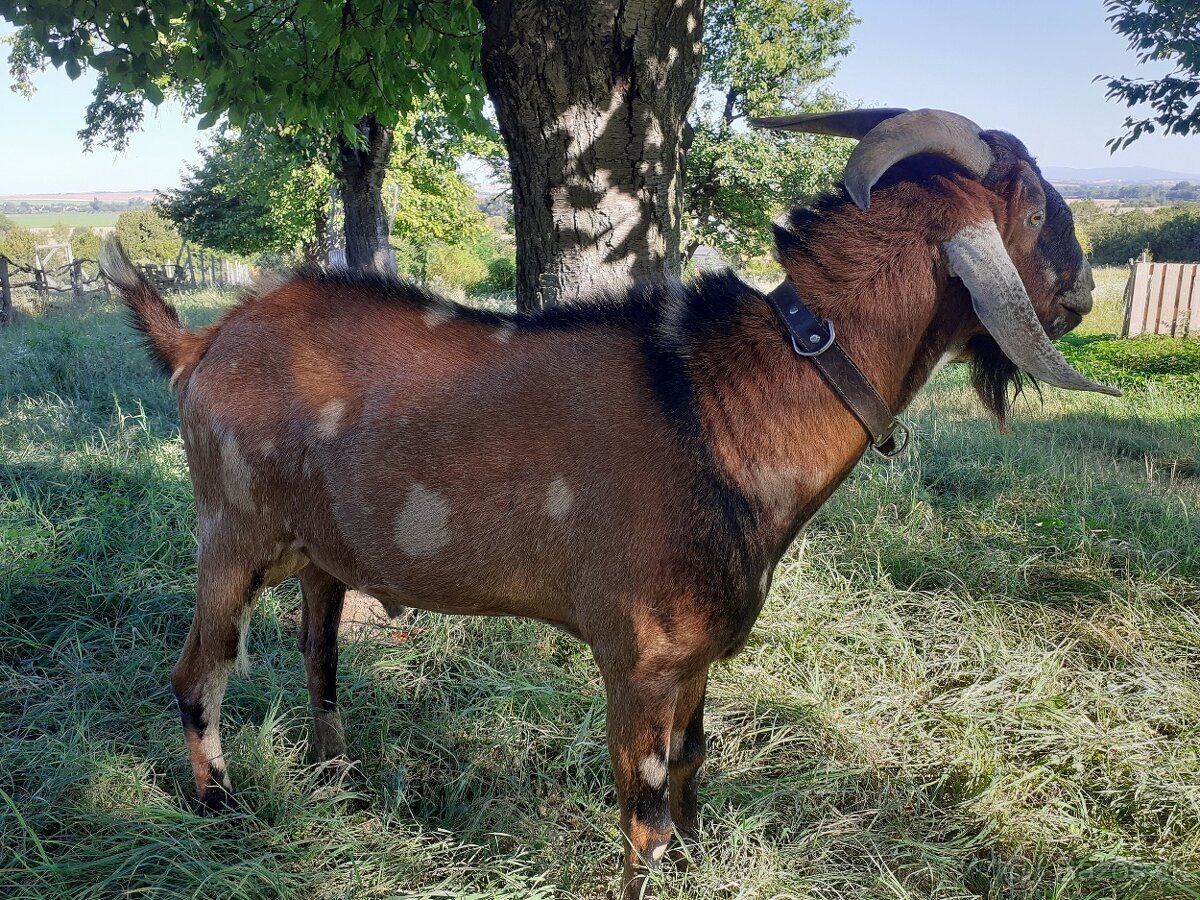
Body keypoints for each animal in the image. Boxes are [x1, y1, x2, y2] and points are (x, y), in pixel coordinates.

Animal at [100, 109, 1113, 897]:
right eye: (1032, 206)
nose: (1084, 291)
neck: (723, 403)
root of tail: (201, 345)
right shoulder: (640, 658)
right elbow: (646, 820)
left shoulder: (698, 654)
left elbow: (697, 772)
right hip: (233, 535)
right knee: (198, 673)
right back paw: (226, 809)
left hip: (320, 556)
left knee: (320, 657)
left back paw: (340, 777)